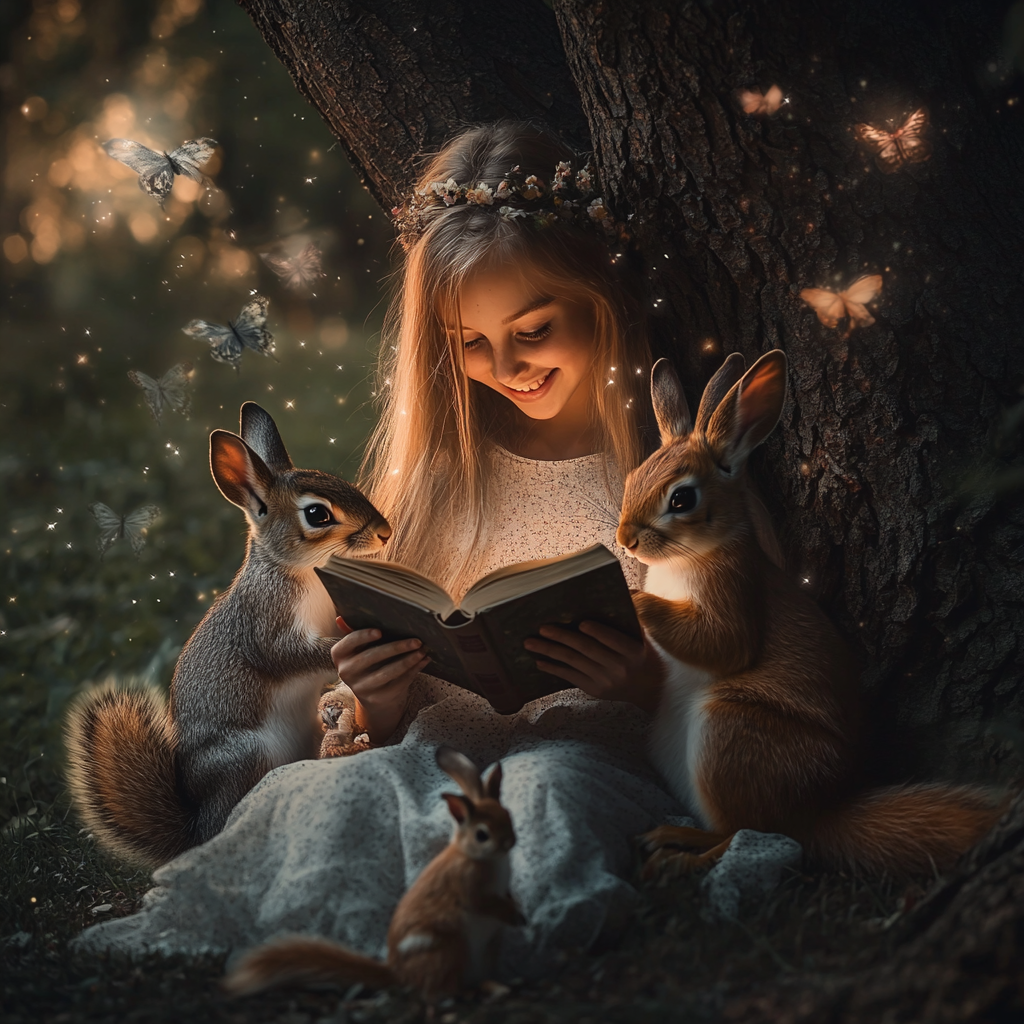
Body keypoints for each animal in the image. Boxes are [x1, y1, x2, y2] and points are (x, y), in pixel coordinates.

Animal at [65, 403, 391, 868]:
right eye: (318, 515)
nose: (385, 532)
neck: (306, 574)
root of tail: (196, 827)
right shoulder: (263, 621)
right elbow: (285, 655)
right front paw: (349, 649)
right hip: (244, 759)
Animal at [225, 745, 528, 999]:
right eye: (482, 835)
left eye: (508, 816)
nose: (510, 842)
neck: (476, 857)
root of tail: (398, 974)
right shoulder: (465, 886)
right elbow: (481, 902)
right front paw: (514, 915)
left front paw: (517, 911)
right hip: (449, 948)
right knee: (440, 989)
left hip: (489, 948)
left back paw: (498, 986)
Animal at [614, 354, 999, 880]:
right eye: (632, 477)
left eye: (681, 499)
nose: (625, 539)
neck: (689, 557)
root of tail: (818, 813)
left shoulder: (735, 594)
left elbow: (721, 643)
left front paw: (634, 598)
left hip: (731, 732)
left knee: (754, 833)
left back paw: (676, 854)